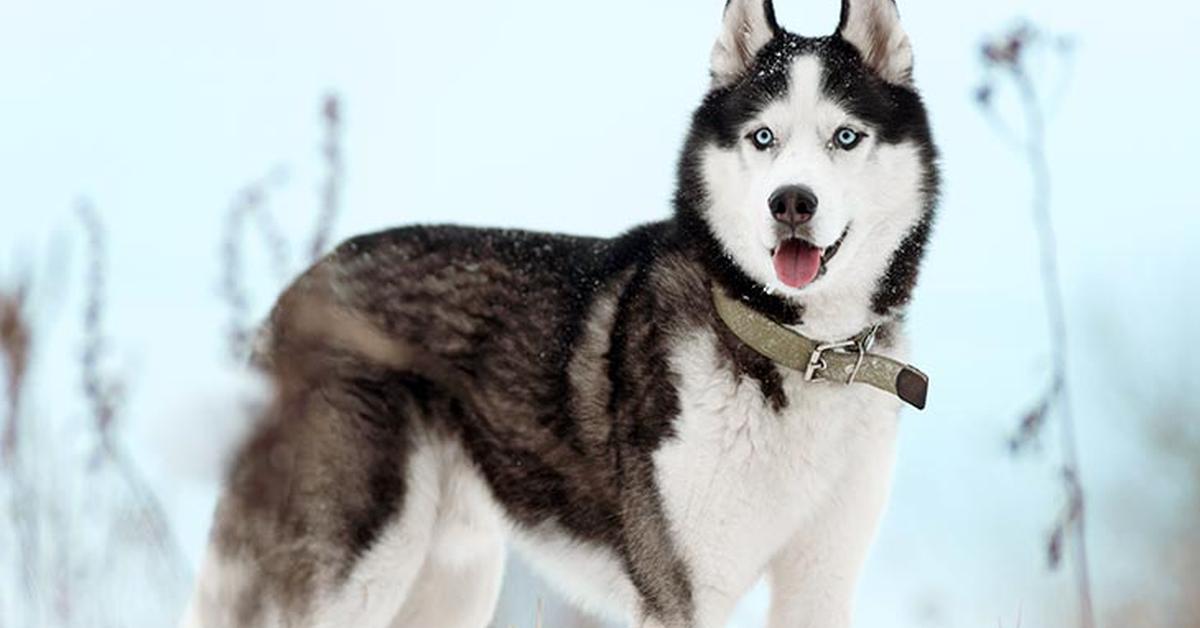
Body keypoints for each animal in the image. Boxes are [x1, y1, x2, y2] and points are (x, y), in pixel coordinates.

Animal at [184, 1, 936, 628]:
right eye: (763, 137)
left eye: (846, 137)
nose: (792, 202)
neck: (796, 348)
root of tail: (298, 290)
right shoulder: (681, 594)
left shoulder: (822, 581)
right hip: (359, 563)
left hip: (454, 578)